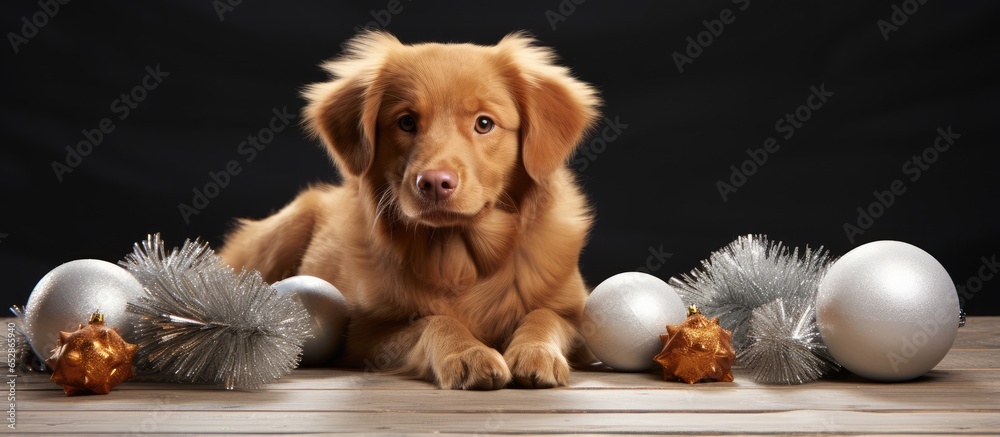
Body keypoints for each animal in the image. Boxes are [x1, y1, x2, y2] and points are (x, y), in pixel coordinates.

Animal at [220, 32, 600, 390]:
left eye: (484, 123)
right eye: (406, 122)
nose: (434, 183)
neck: (460, 258)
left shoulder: (578, 318)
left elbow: (546, 315)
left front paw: (535, 350)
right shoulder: (366, 335)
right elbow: (432, 321)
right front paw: (466, 352)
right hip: (286, 228)